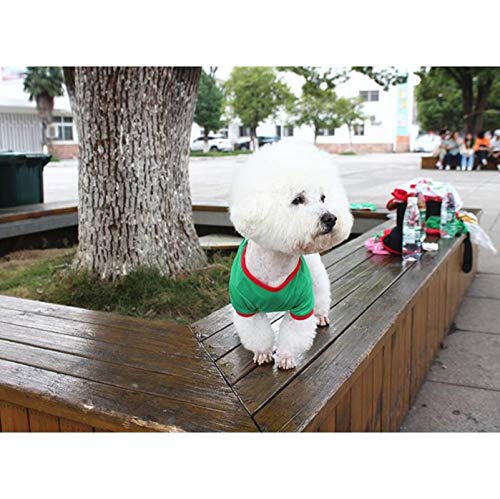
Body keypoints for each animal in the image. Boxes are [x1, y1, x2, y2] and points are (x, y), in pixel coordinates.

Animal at [229, 139, 354, 370]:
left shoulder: (302, 306)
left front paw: (286, 358)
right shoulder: (246, 307)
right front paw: (262, 353)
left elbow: (293, 334)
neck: (276, 263)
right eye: (297, 199)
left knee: (321, 296)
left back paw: (321, 316)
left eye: (323, 197)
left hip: (316, 277)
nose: (331, 218)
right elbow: (257, 334)